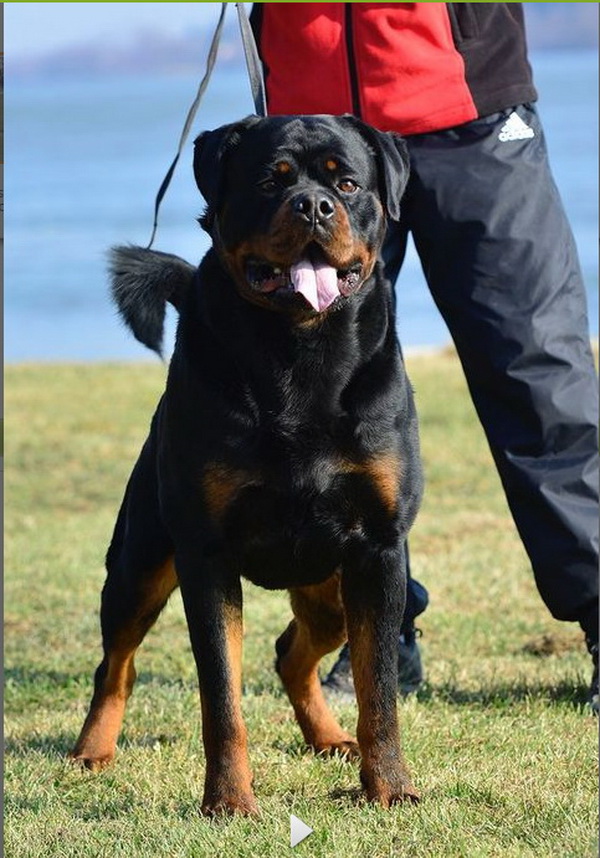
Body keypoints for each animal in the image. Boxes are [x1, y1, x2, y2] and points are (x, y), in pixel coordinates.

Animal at [70, 115, 424, 816]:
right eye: (270, 180)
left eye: (347, 183)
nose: (314, 205)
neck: (299, 353)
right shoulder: (204, 553)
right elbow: (221, 699)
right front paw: (229, 803)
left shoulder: (378, 550)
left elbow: (379, 692)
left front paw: (390, 789)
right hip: (140, 561)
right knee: (115, 662)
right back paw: (92, 750)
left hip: (333, 586)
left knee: (293, 652)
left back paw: (329, 738)